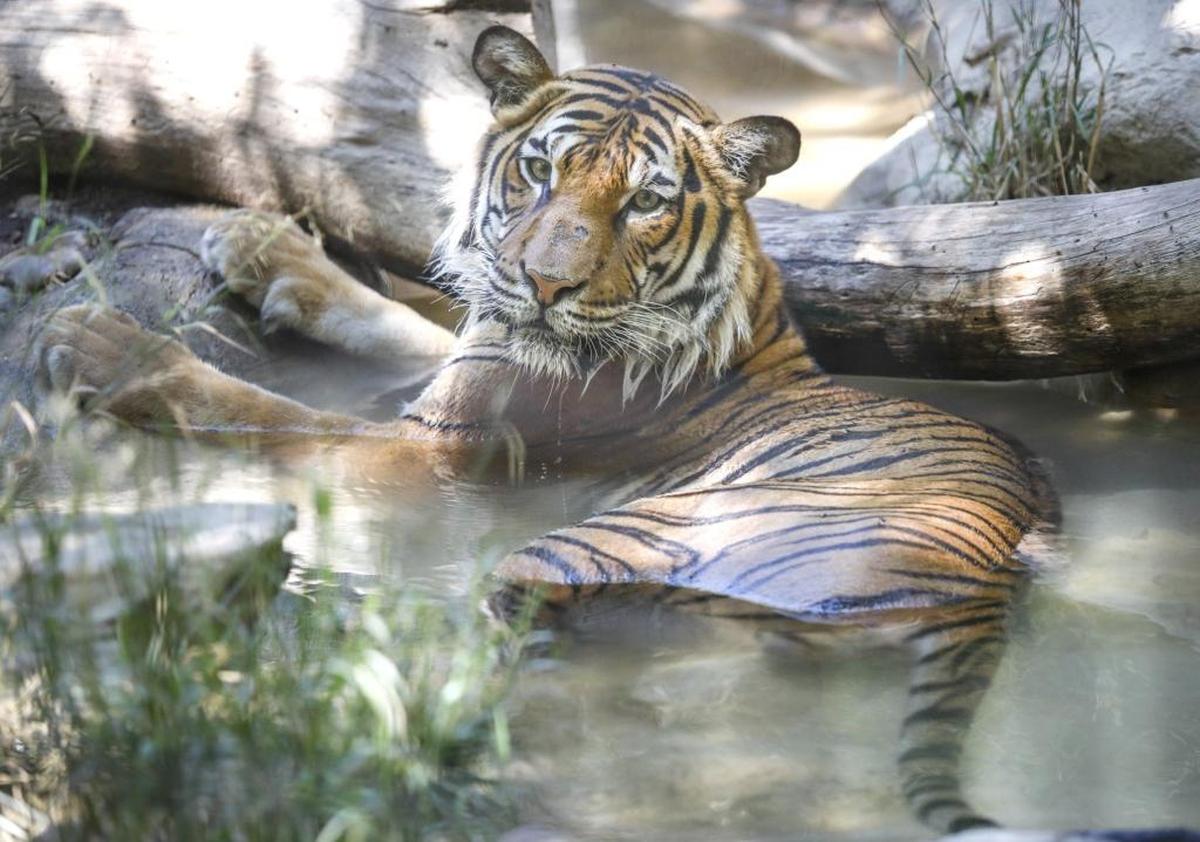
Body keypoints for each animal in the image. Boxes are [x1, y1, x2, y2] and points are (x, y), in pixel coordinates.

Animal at [35, 24, 1058, 834]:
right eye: (538, 171)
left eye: (645, 201)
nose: (542, 284)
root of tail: (983, 588)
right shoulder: (467, 358)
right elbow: (401, 319)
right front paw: (262, 244)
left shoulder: (432, 450)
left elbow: (266, 412)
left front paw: (99, 343)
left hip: (599, 546)